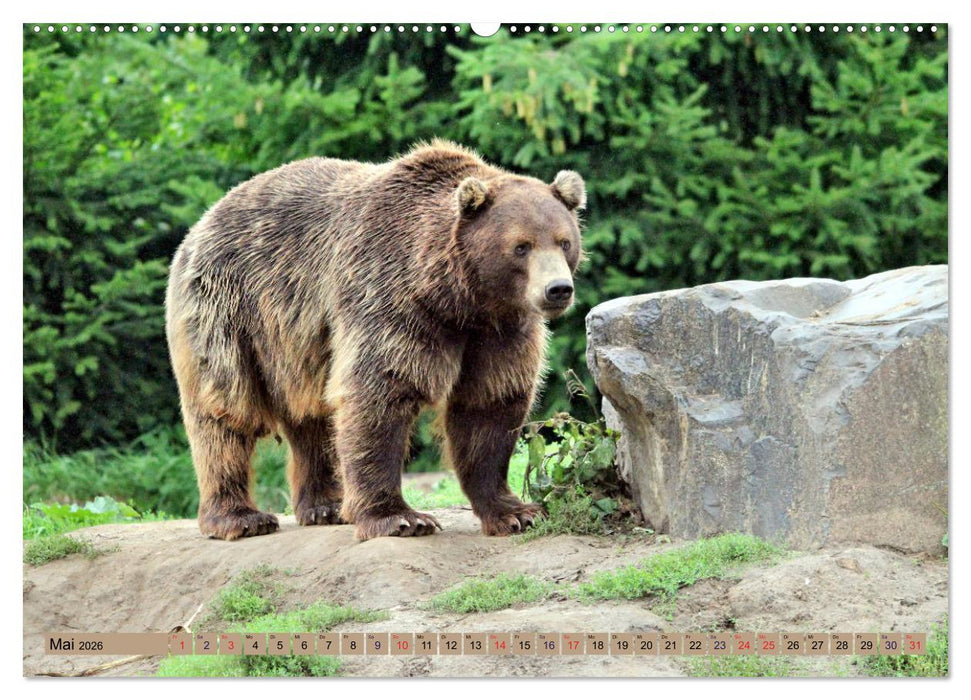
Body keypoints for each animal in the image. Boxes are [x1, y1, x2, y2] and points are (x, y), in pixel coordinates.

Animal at [164, 140, 586, 541]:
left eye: (563, 241)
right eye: (521, 246)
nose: (557, 289)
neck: (458, 298)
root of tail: (199, 225)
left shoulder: (499, 331)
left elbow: (488, 405)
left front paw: (516, 512)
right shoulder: (389, 297)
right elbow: (380, 391)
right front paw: (400, 518)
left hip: (297, 346)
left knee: (313, 418)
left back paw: (325, 507)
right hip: (226, 310)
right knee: (223, 411)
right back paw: (240, 517)